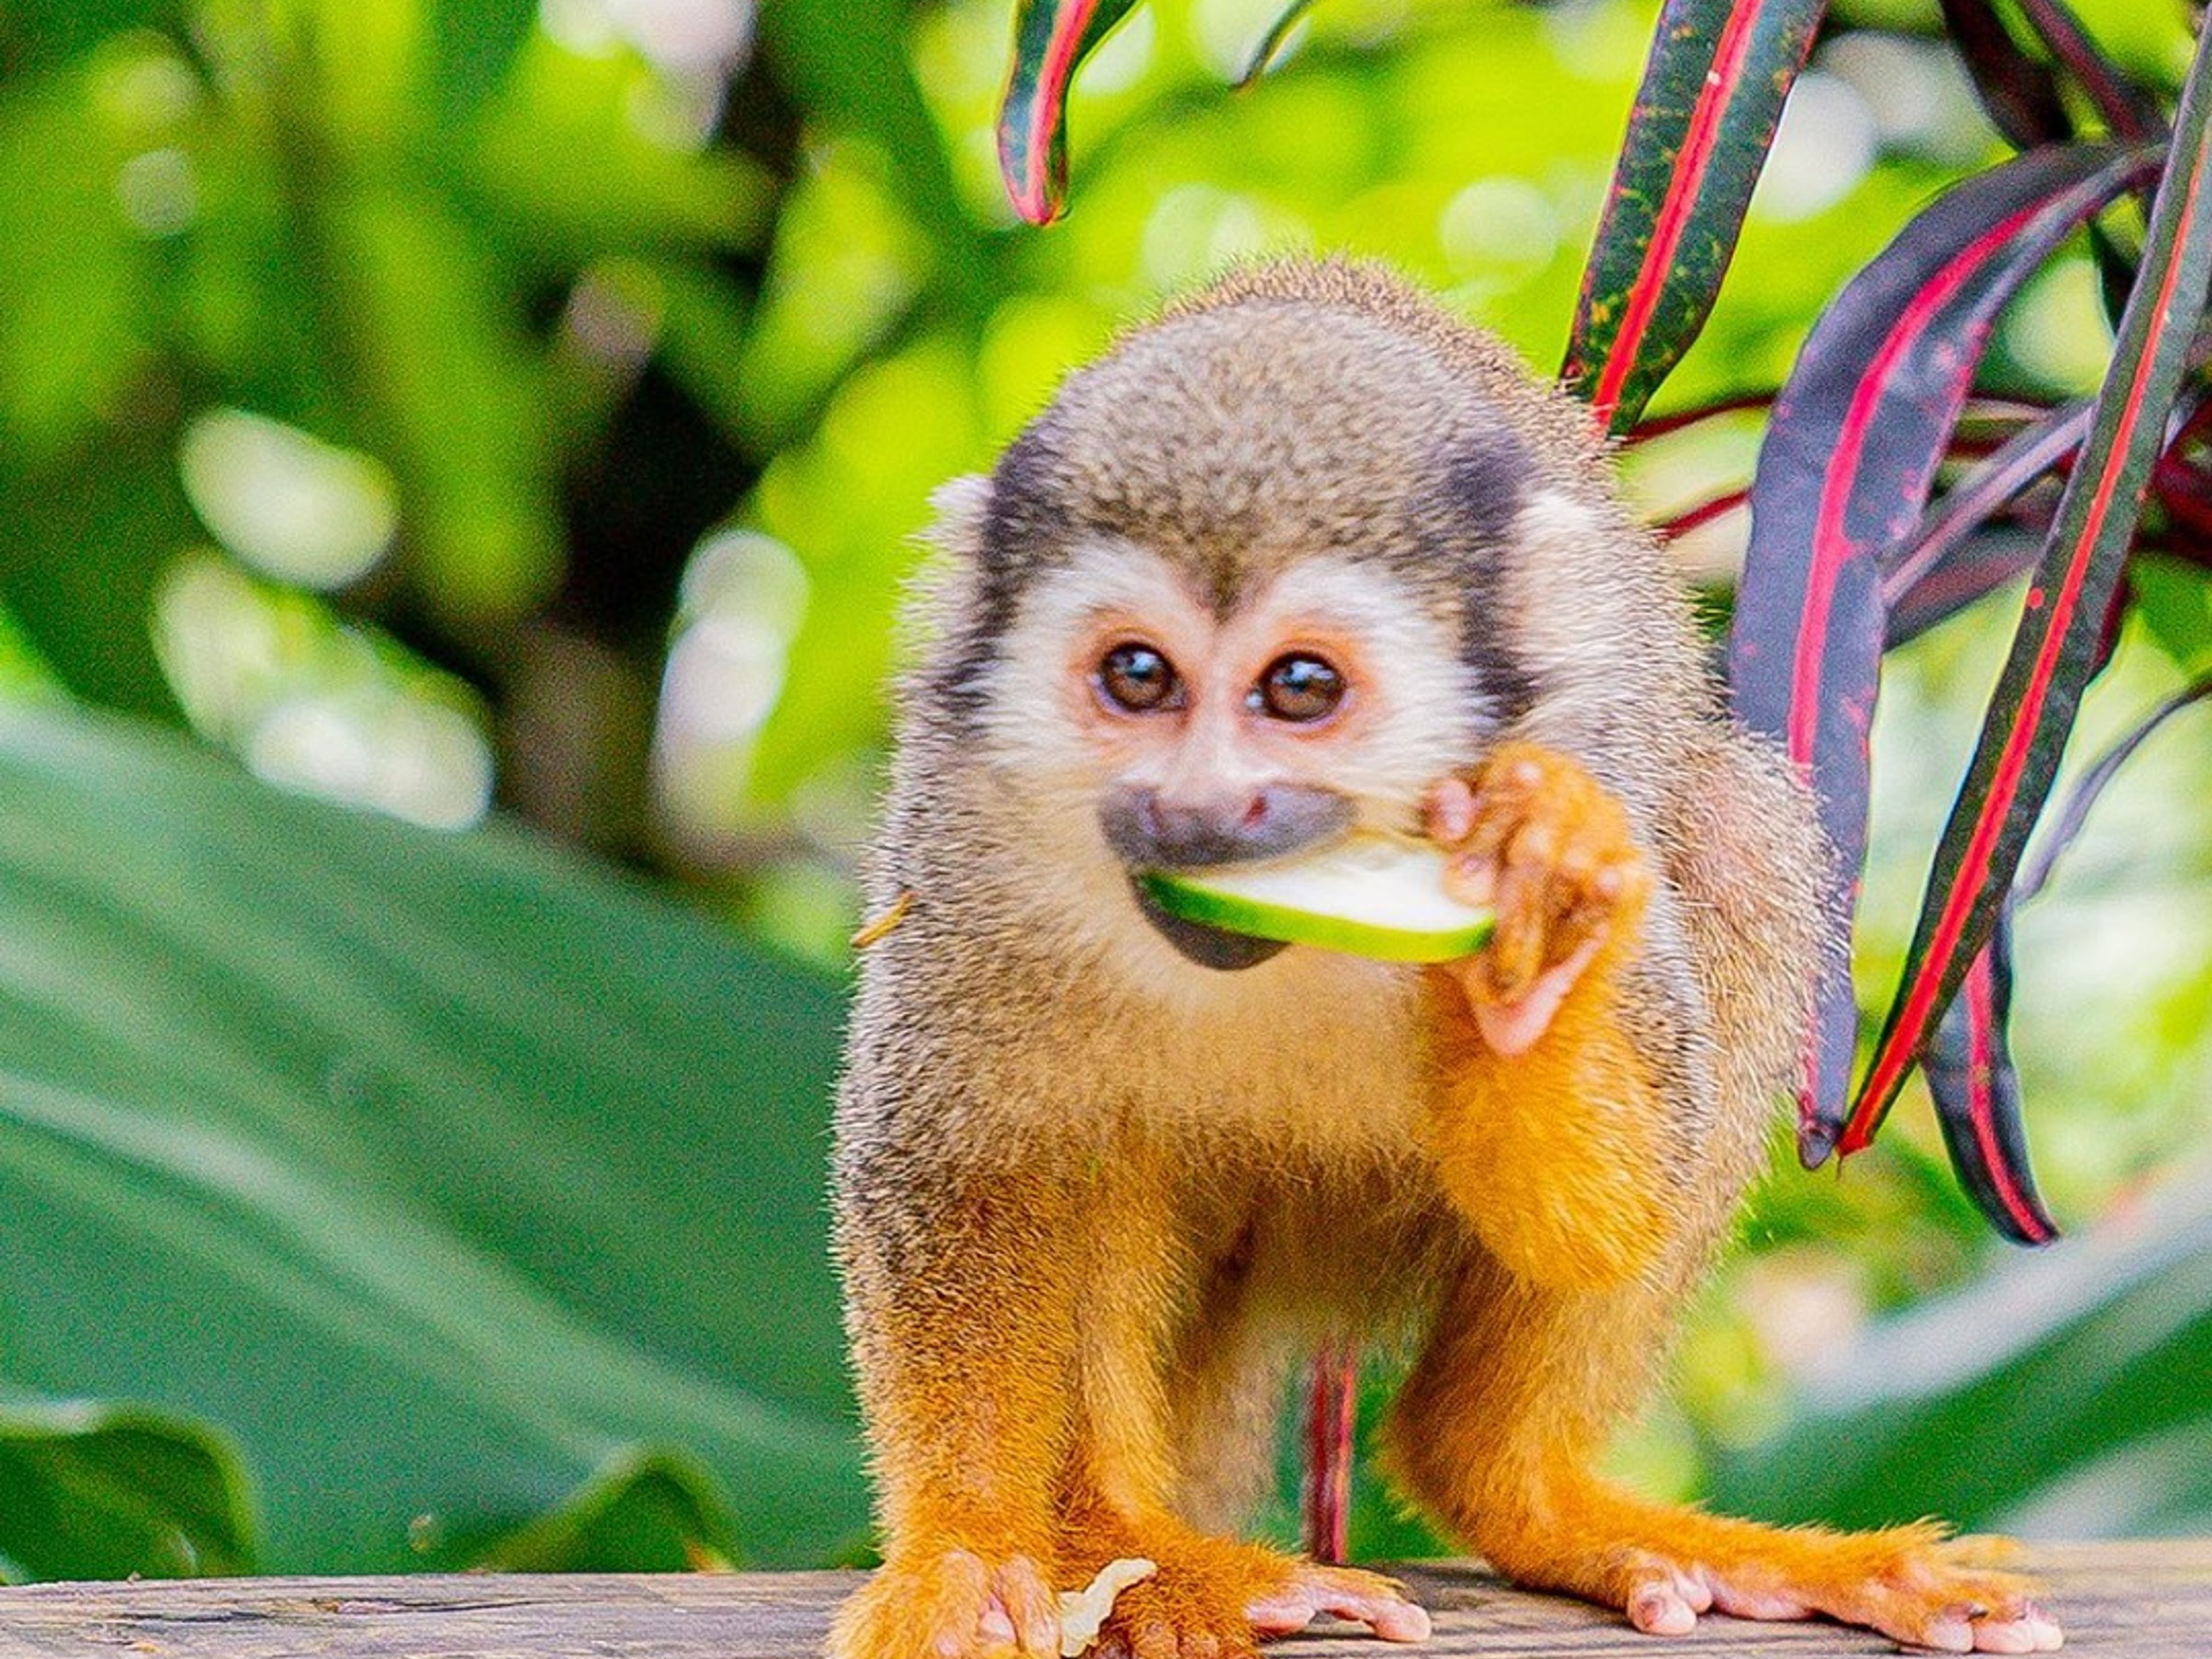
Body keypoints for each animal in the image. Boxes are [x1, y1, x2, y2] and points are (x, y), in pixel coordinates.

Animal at [828, 258, 2063, 1659]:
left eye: (1300, 690)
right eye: (1136, 677)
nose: (1198, 812)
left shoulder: (1575, 760)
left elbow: (1616, 1208)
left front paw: (1532, 957)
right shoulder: (960, 826)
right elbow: (968, 1171)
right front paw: (968, 1553)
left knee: (1740, 841)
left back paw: (1516, 1487)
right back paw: (1132, 1544)